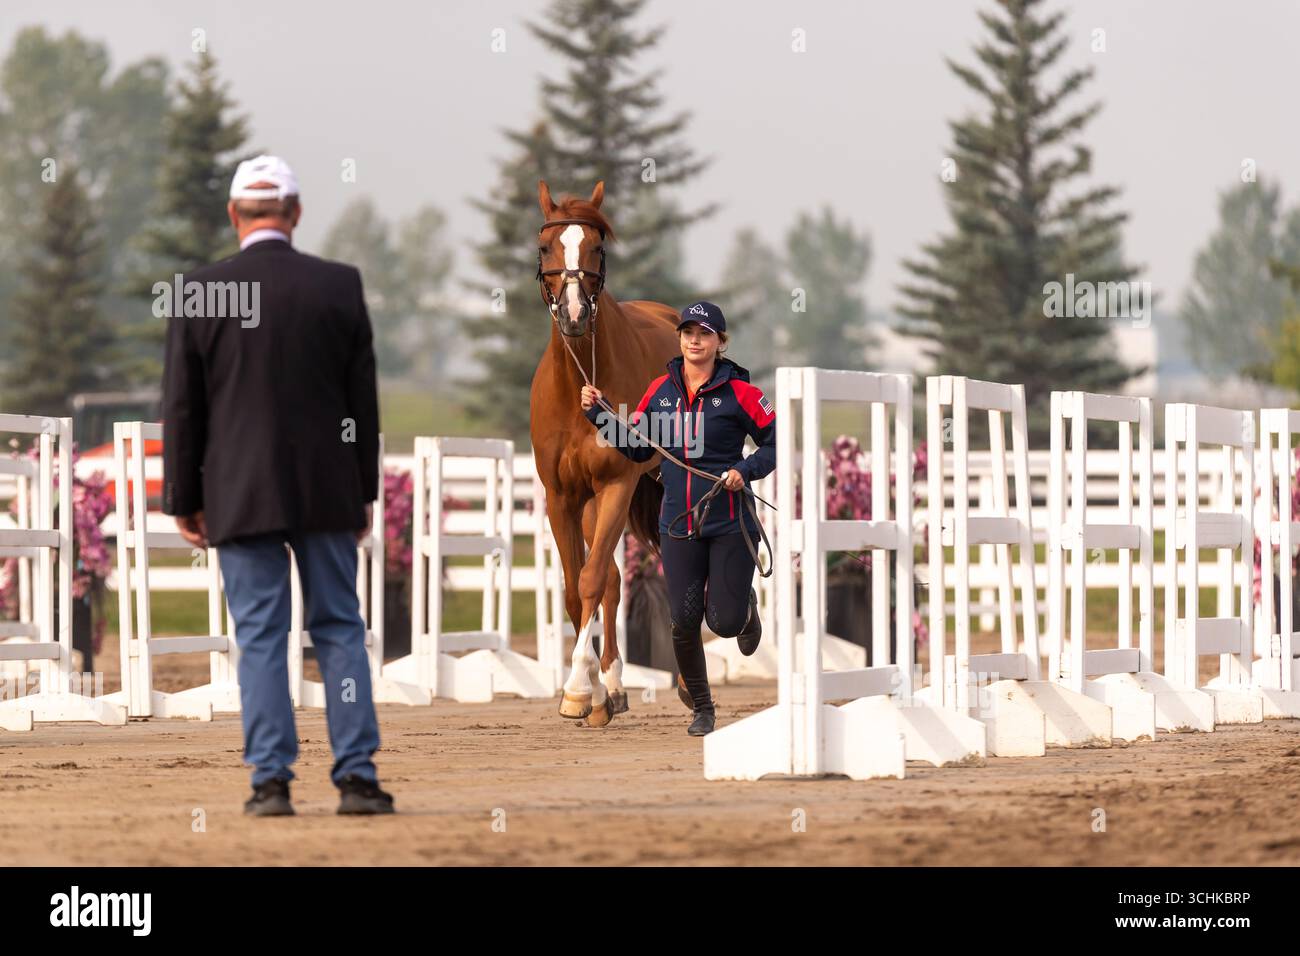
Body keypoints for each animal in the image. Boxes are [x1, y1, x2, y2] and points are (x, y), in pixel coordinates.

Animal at [529, 179, 680, 726]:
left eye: (596, 246)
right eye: (546, 246)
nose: (574, 314)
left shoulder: (616, 484)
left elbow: (591, 581)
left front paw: (576, 688)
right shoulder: (562, 497)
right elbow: (578, 591)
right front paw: (592, 691)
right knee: (615, 581)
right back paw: (612, 688)